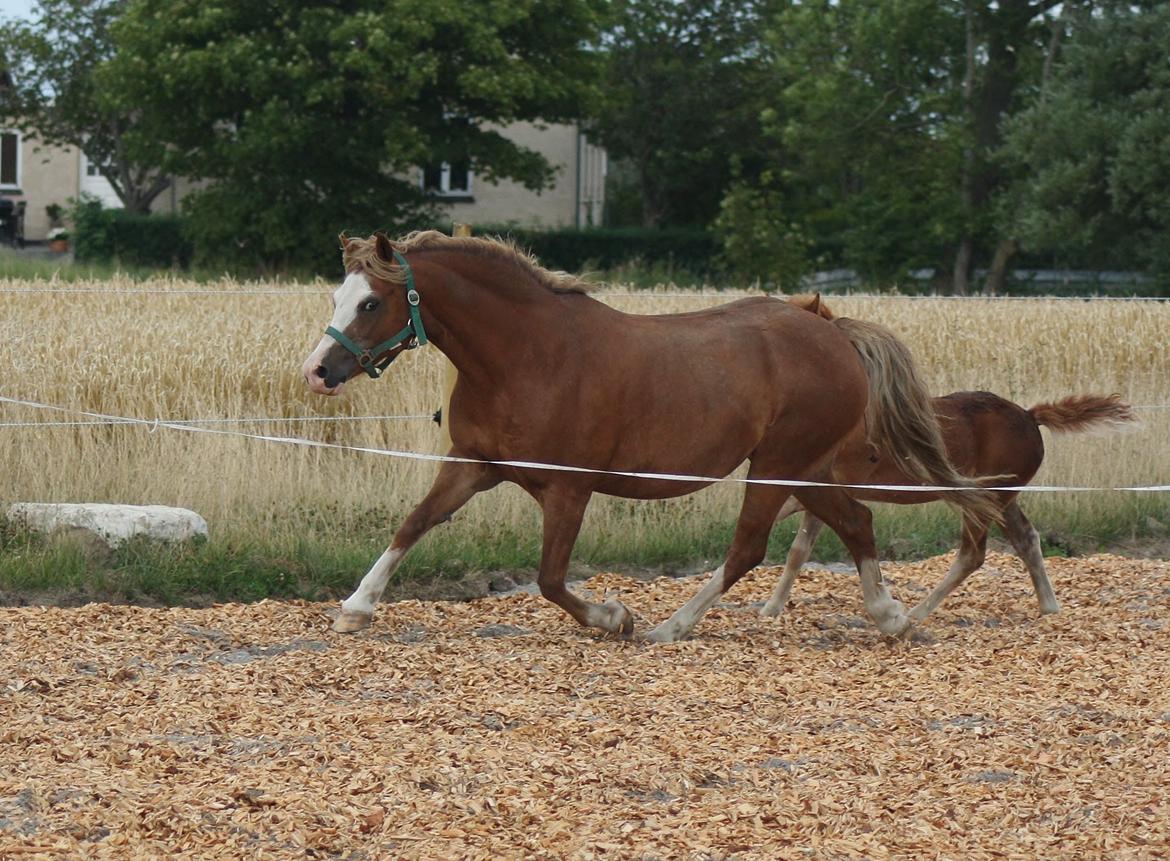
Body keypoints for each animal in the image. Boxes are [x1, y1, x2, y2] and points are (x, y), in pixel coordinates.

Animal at [304, 231, 996, 641]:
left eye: (371, 303)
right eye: (339, 294)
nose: (318, 372)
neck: (527, 357)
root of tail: (835, 334)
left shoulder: (569, 489)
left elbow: (551, 577)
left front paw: (614, 616)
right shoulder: (472, 463)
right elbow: (413, 524)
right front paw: (355, 608)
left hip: (779, 462)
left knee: (749, 548)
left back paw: (671, 626)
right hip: (805, 467)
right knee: (855, 523)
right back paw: (892, 617)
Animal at [762, 294, 1137, 617]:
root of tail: (1030, 416)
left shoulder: (828, 481)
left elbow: (789, 525)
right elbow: (799, 550)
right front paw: (771, 608)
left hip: (983, 500)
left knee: (973, 554)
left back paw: (915, 614)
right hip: (1000, 498)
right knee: (1026, 539)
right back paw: (1049, 607)